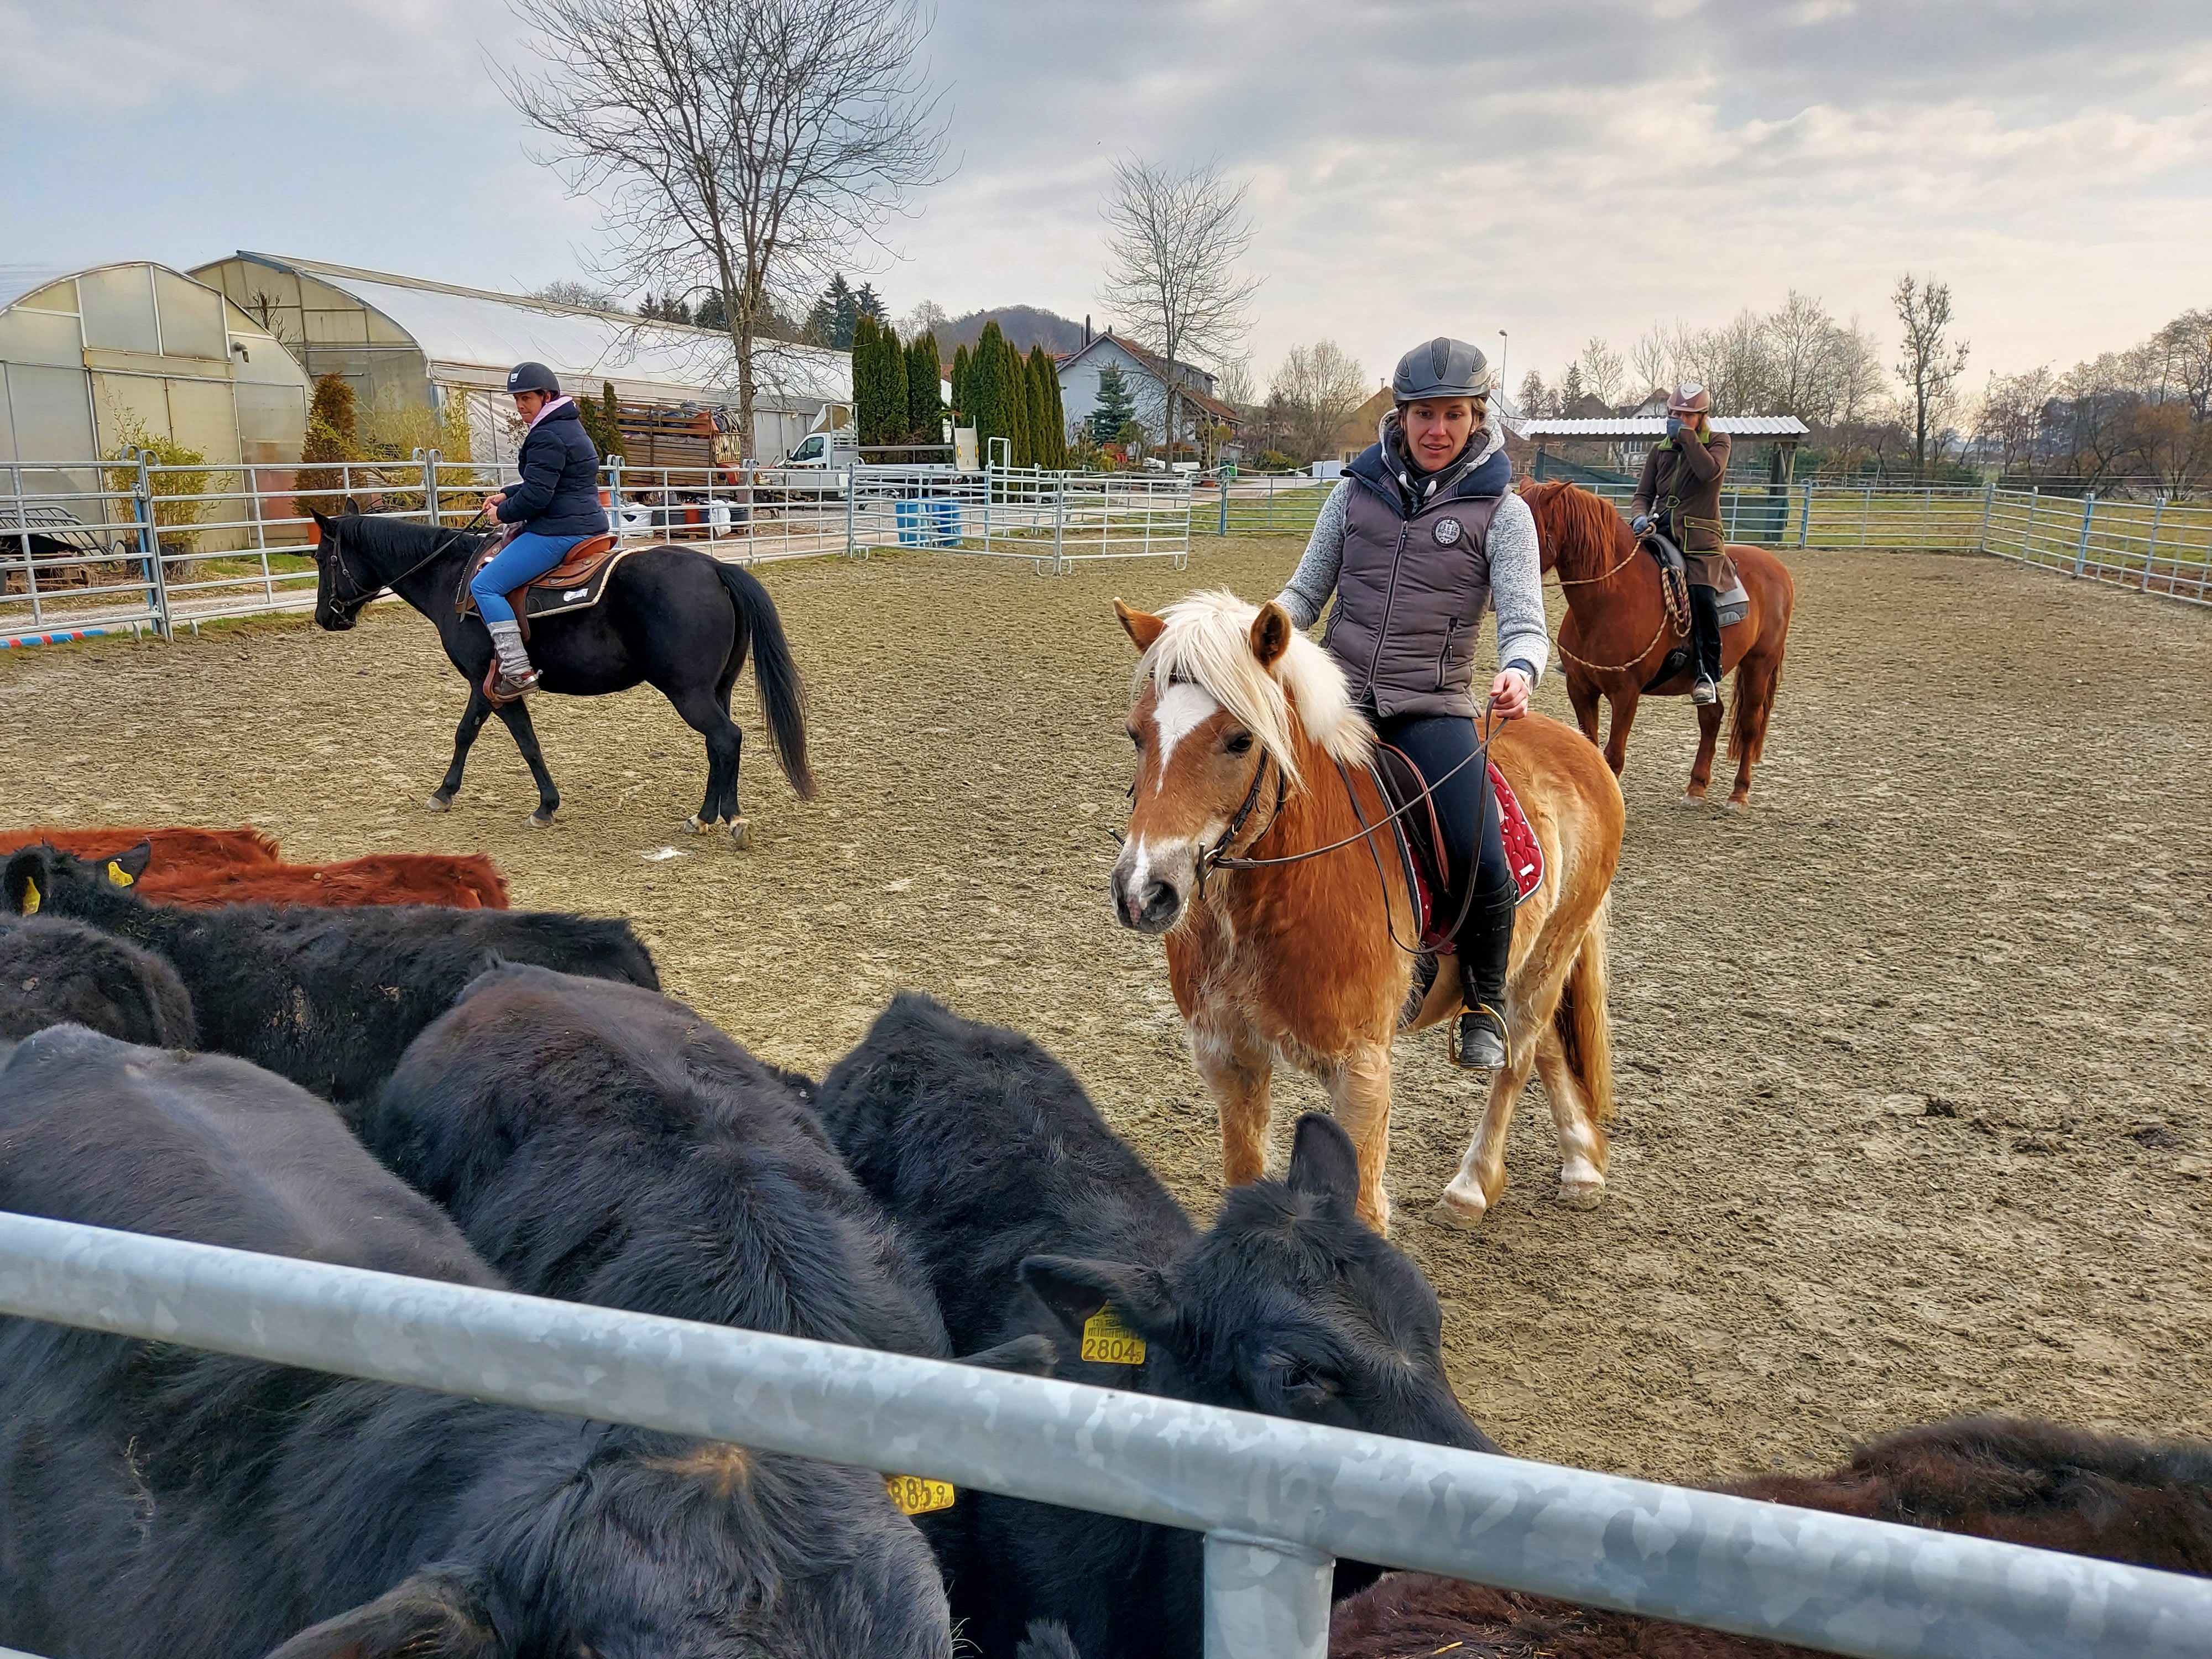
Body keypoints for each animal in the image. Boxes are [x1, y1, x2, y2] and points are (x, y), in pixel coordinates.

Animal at [305, 509, 815, 839]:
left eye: (322, 558)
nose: (325, 617)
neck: (453, 580)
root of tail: (715, 567)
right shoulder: (490, 686)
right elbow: (490, 735)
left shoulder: (489, 683)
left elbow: (495, 737)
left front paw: (478, 797)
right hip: (717, 689)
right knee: (722, 744)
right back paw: (716, 815)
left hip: (689, 693)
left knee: (726, 738)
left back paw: (720, 818)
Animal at [1109, 591, 1624, 1234]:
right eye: (1136, 735)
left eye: (1240, 740)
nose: (1142, 891)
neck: (1276, 900)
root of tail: (1582, 750)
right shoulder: (1228, 1058)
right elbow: (1243, 1177)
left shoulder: (1361, 1072)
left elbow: (1363, 1210)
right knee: (1548, 1047)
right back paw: (1581, 1164)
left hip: (1548, 957)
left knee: (1519, 1057)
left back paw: (1472, 1188)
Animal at [1520, 480, 1795, 810]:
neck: (1608, 600)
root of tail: (1776, 567)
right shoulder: (1580, 688)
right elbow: (1589, 749)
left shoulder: (1626, 694)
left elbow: (1613, 756)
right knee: (1712, 718)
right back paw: (1696, 788)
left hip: (1759, 664)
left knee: (1750, 724)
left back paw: (1738, 794)